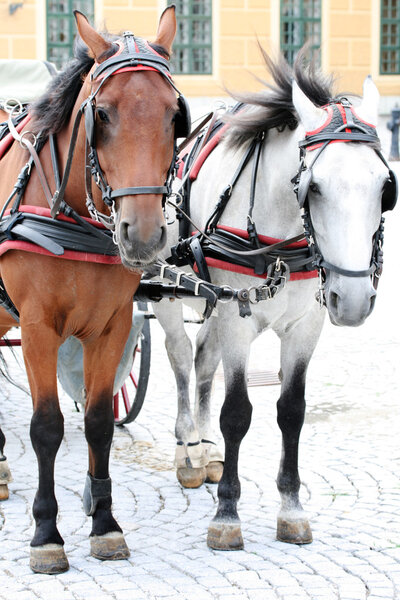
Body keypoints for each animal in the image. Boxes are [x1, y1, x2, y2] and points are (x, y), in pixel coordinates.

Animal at [0, 8, 184, 572]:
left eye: (175, 115)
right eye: (101, 114)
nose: (143, 234)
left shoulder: (112, 325)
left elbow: (100, 420)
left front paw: (104, 522)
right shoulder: (37, 327)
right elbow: (46, 427)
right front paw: (46, 533)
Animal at [153, 54, 396, 552]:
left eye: (386, 188)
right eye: (313, 187)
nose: (354, 300)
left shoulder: (306, 326)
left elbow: (292, 412)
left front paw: (291, 506)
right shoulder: (236, 320)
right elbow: (237, 412)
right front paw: (227, 514)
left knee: (203, 360)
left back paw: (206, 450)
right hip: (170, 288)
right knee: (181, 357)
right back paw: (188, 450)